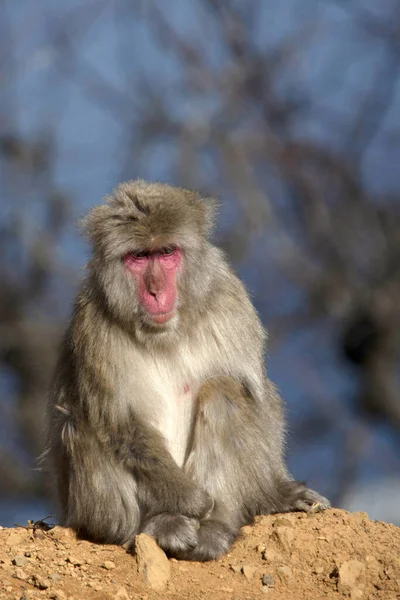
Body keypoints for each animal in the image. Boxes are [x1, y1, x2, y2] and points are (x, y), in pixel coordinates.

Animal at [45, 179, 330, 564]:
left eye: (166, 253)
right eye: (139, 257)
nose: (155, 290)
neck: (168, 332)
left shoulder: (230, 301)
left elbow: (257, 397)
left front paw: (276, 493)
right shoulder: (91, 326)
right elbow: (120, 423)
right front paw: (191, 500)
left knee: (224, 392)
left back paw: (214, 528)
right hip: (92, 513)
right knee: (83, 420)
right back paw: (160, 525)